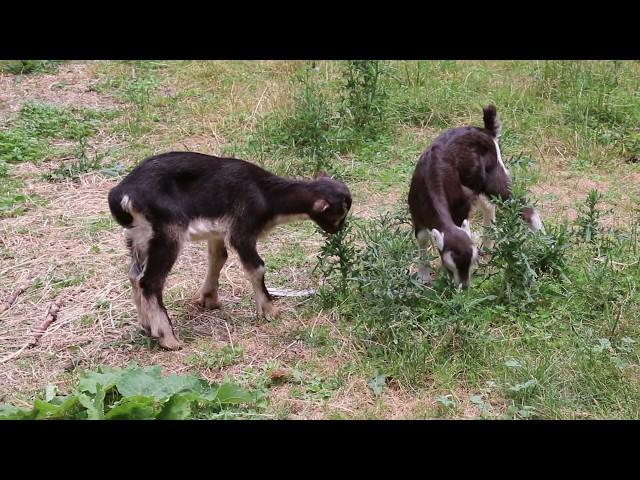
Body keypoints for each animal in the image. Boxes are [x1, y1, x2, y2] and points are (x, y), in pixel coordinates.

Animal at [107, 152, 352, 350]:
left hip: (139, 236)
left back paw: (146, 325)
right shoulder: (242, 230)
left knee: (134, 275)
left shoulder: (218, 232)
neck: (267, 195)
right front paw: (270, 311)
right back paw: (168, 338)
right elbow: (257, 268)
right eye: (340, 214)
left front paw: (209, 300)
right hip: (168, 231)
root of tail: (122, 195)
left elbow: (218, 257)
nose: (338, 230)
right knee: (150, 280)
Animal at [412, 105, 544, 288]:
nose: (464, 287)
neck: (430, 179)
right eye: (448, 264)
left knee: (521, 206)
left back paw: (544, 242)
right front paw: (423, 276)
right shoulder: (416, 211)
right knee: (489, 206)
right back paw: (487, 244)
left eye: (472, 261)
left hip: (494, 176)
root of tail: (486, 131)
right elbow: (423, 237)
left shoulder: (460, 206)